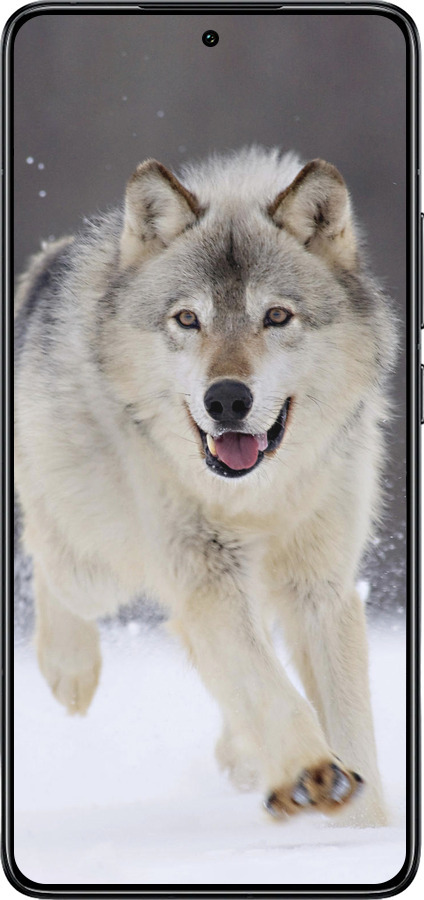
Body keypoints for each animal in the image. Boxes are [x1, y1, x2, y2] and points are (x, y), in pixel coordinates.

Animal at [14, 147, 395, 826]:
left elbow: (348, 721)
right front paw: (310, 773)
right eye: (188, 319)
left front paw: (363, 825)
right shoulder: (205, 574)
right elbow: (267, 686)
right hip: (99, 565)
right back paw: (70, 670)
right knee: (47, 556)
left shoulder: (320, 585)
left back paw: (242, 756)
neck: (256, 497)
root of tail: (49, 260)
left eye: (276, 316)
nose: (226, 400)